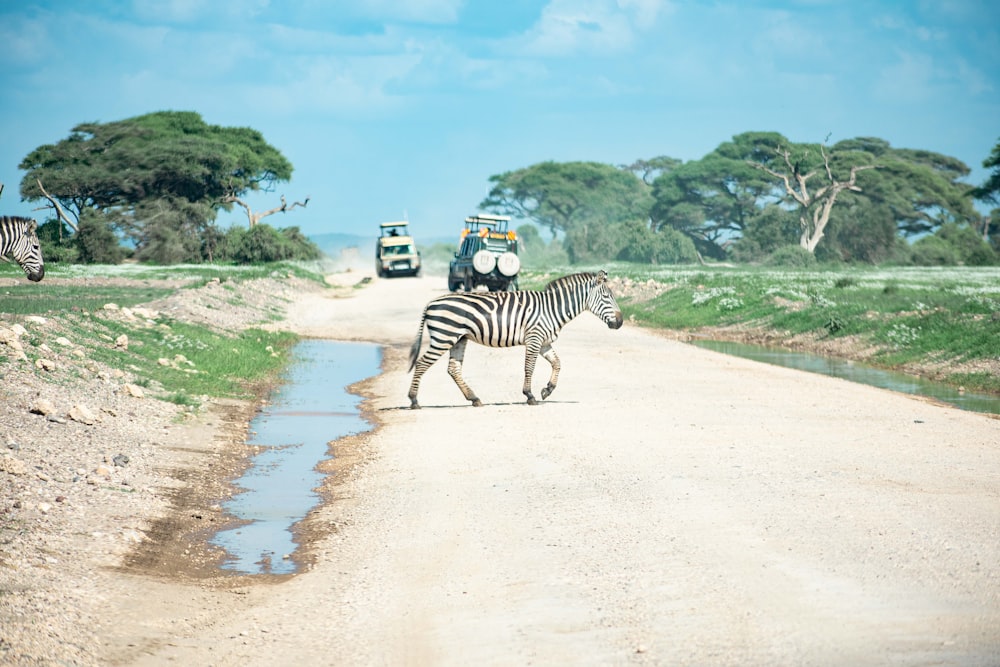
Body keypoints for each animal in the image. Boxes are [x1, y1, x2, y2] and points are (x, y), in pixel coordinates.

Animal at [408, 270, 624, 408]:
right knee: (421, 363)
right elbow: (529, 367)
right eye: (607, 296)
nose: (621, 322)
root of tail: (430, 303)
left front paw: (547, 390)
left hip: (458, 338)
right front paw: (530, 396)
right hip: (444, 336)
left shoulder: (544, 342)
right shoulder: (534, 338)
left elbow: (557, 363)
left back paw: (474, 399)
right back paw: (414, 400)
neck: (552, 309)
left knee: (453, 369)